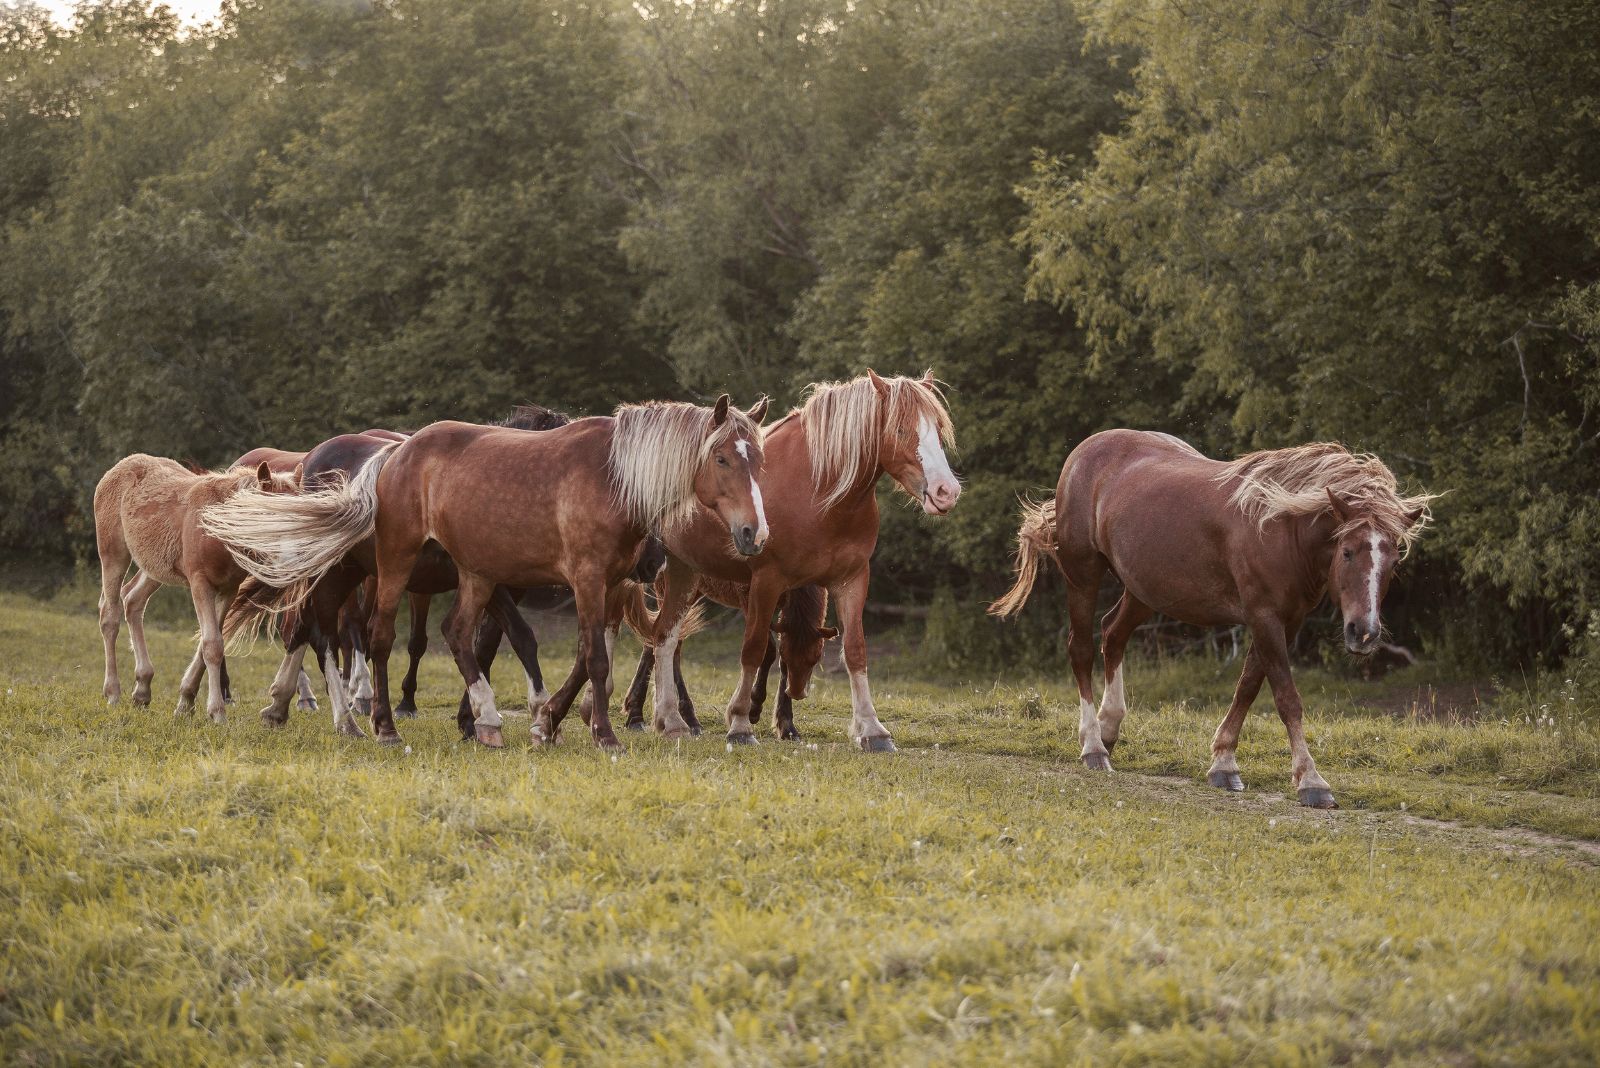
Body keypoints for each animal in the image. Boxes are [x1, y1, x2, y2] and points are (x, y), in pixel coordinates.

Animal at [94, 454, 302, 722]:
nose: (294, 562)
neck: (217, 529)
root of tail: (117, 468)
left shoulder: (228, 590)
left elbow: (212, 643)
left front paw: (187, 703)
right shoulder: (200, 583)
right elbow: (212, 645)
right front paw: (217, 712)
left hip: (154, 566)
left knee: (132, 601)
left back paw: (142, 689)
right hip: (113, 555)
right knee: (109, 615)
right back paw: (113, 692)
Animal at [992, 428, 1433, 805]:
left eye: (1393, 559)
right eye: (1347, 551)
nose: (1364, 633)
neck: (1278, 527)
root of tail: (1086, 450)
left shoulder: (1286, 621)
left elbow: (1248, 687)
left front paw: (1223, 763)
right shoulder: (1264, 616)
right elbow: (1286, 698)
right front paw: (1311, 781)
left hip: (1144, 589)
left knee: (1113, 635)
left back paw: (1110, 726)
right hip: (1082, 574)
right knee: (1082, 648)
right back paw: (1093, 745)